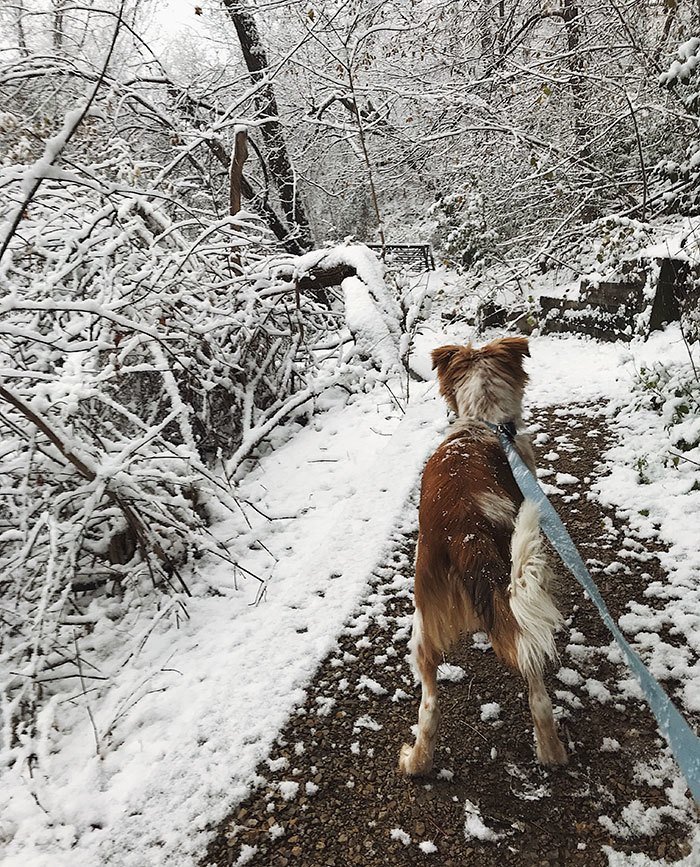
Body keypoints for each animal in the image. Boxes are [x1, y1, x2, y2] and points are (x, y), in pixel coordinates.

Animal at [396, 336, 568, 776]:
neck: (483, 423)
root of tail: (464, 529)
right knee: (535, 687)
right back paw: (552, 753)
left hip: (422, 622)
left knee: (430, 705)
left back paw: (417, 762)